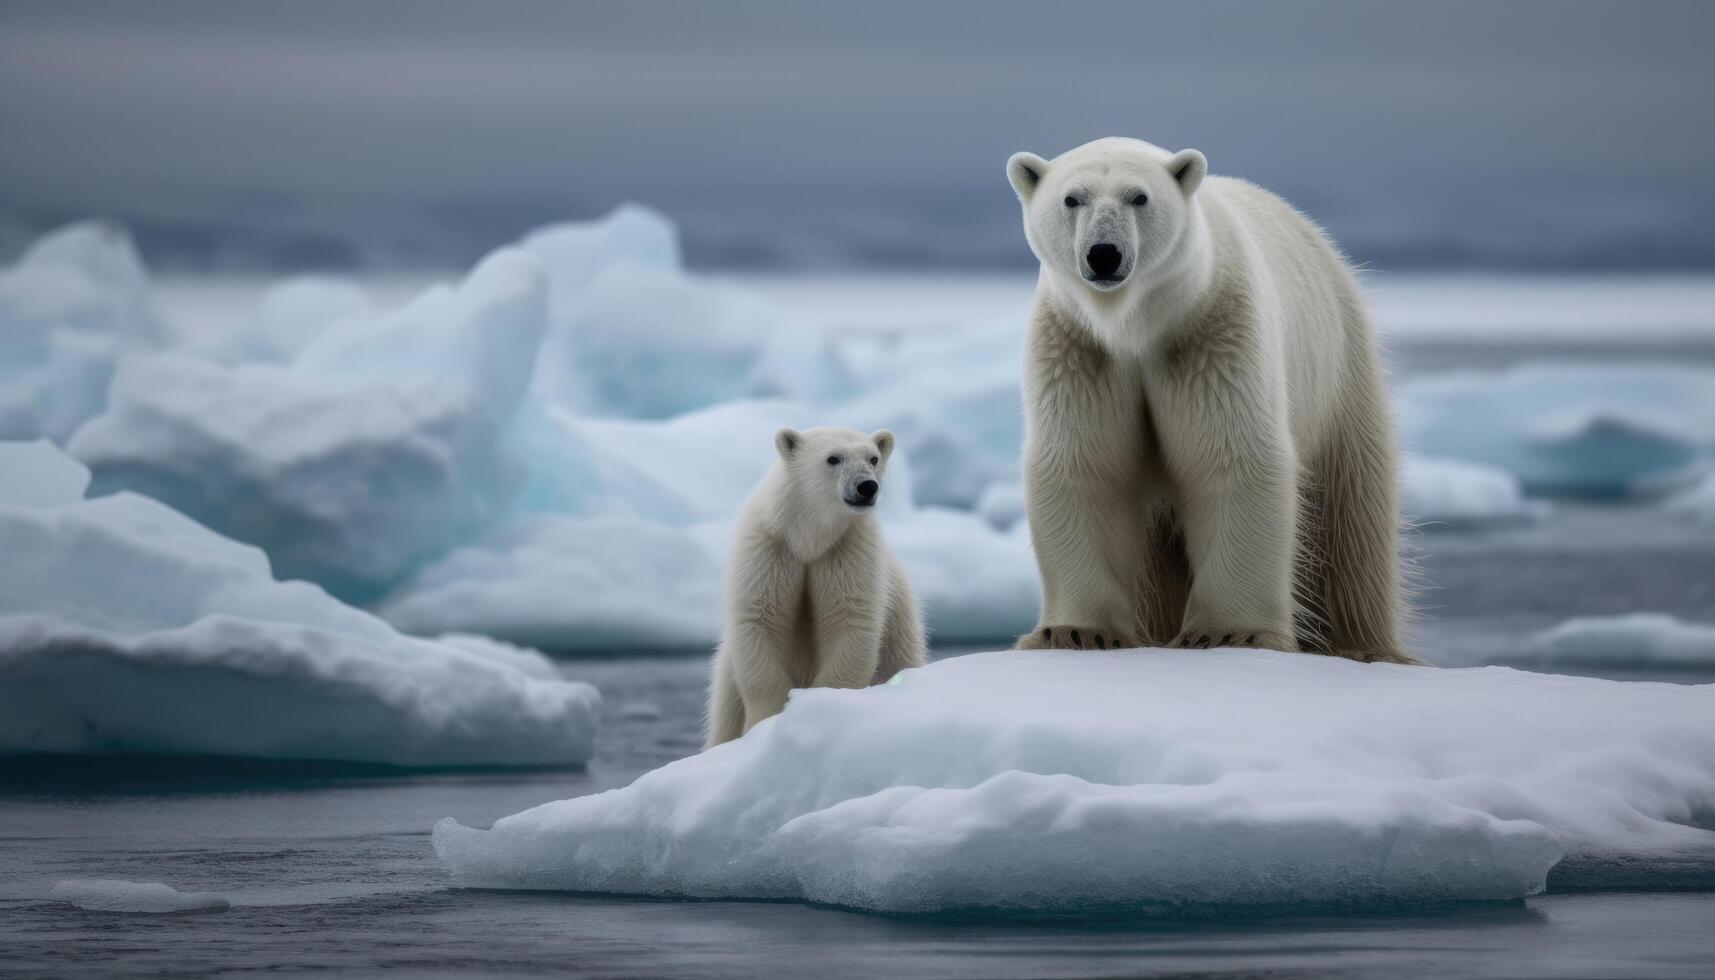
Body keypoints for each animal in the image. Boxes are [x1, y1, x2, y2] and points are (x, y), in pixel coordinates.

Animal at [1001, 138, 1406, 665]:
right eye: (1073, 199)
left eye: (1139, 197)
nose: (1105, 254)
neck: (1136, 326)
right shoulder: (1081, 350)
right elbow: (1087, 465)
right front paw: (1074, 633)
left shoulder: (1211, 334)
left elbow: (1232, 457)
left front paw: (1231, 634)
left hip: (1339, 378)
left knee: (1347, 525)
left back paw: (1360, 645)